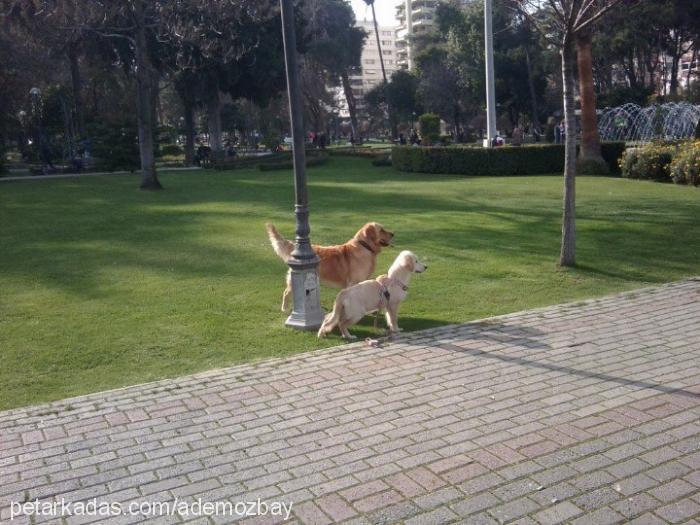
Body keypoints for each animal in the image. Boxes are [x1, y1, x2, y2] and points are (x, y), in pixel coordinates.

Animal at [266, 222, 394, 312]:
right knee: (286, 292)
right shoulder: (353, 282)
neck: (365, 246)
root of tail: (296, 248)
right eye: (381, 230)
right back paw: (285, 308)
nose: (393, 234)